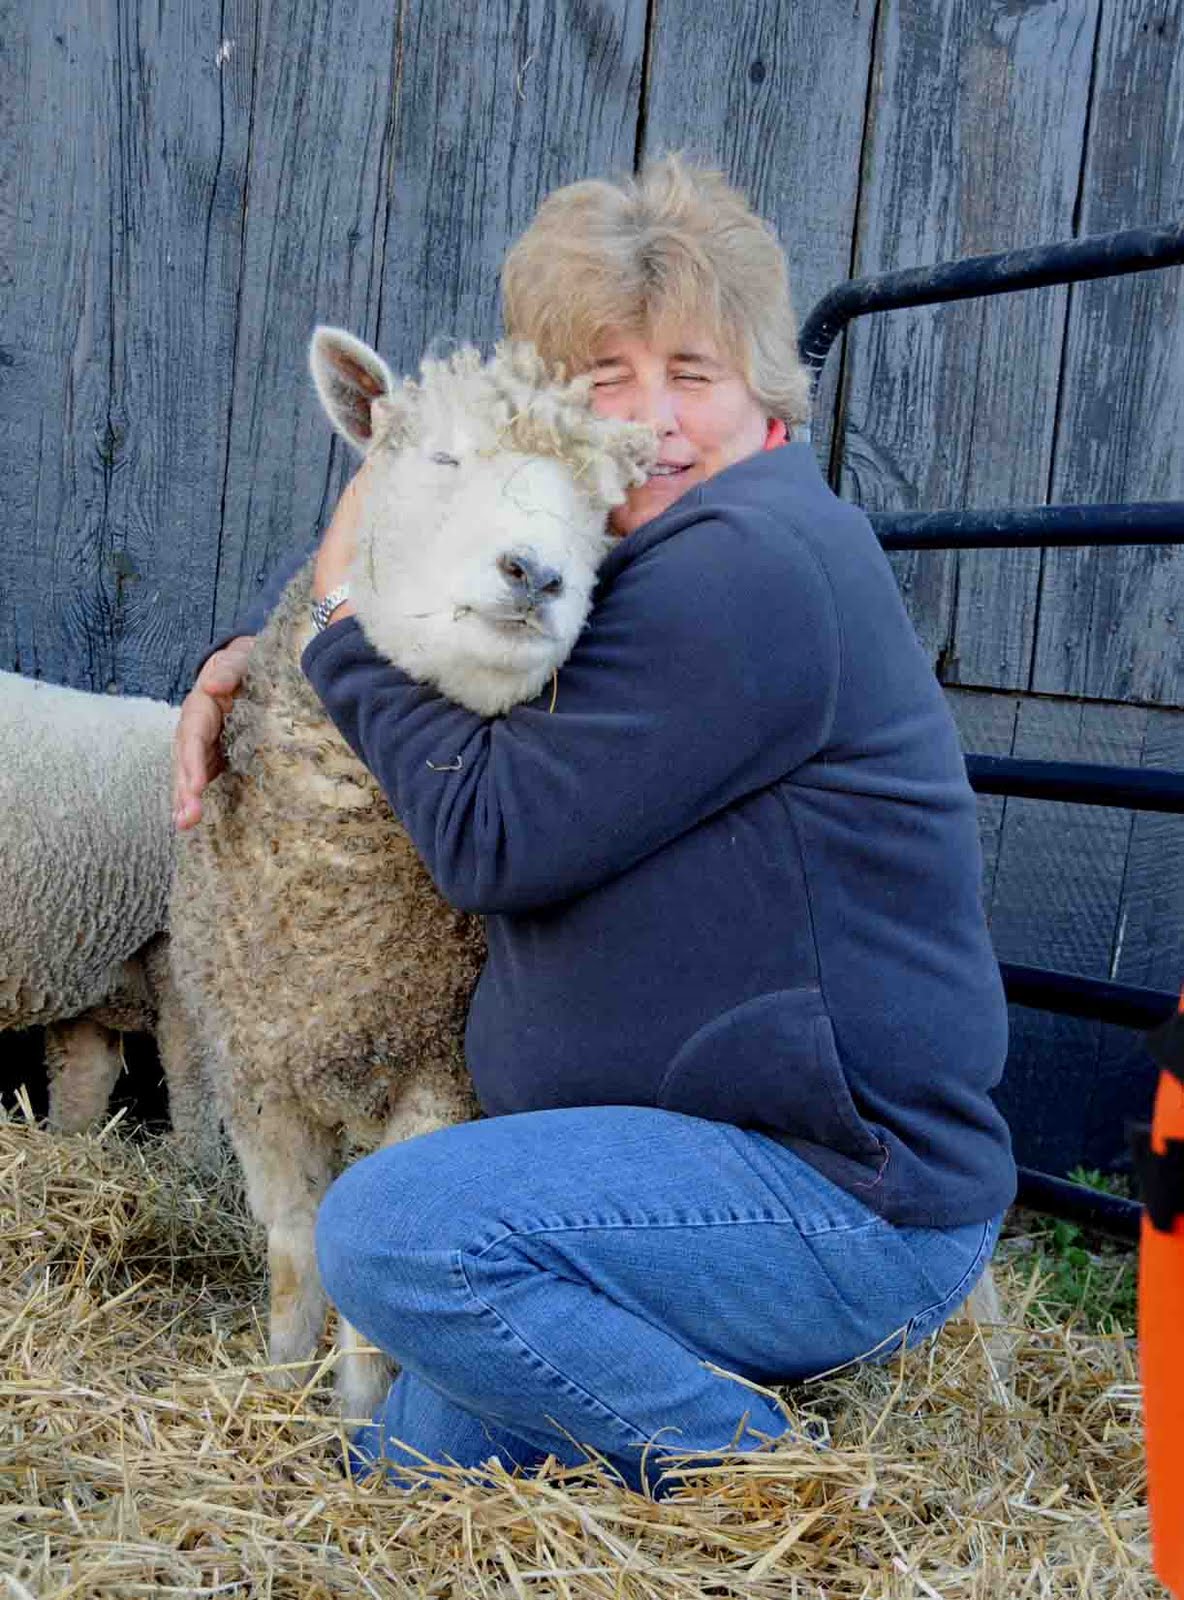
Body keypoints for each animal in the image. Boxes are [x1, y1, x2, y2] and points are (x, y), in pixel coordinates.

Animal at [167, 331, 655, 1418]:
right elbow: (293, 1250)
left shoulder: (441, 1077)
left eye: (602, 513)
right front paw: (277, 1383)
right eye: (440, 457)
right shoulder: (256, 1074)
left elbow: (362, 1268)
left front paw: (352, 1416)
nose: (535, 573)